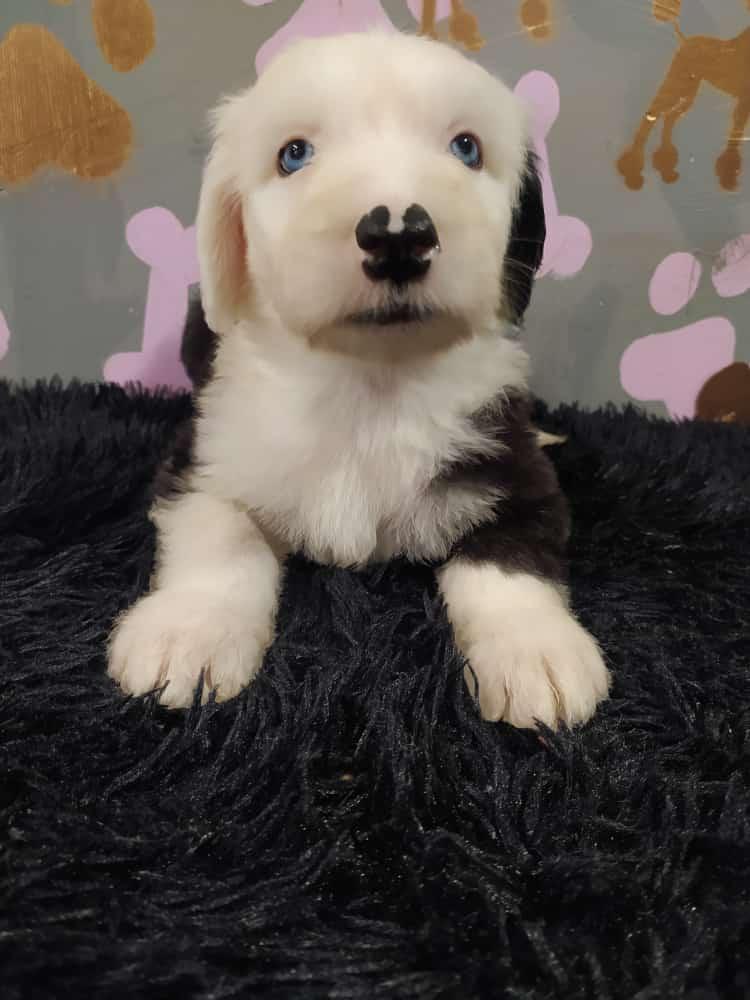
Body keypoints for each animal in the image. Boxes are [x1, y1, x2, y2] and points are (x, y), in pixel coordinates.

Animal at [107, 31, 612, 732]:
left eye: (466, 147)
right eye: (294, 154)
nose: (398, 233)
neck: (371, 382)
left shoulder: (508, 463)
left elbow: (512, 559)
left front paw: (537, 652)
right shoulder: (208, 452)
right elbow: (219, 534)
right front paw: (188, 635)